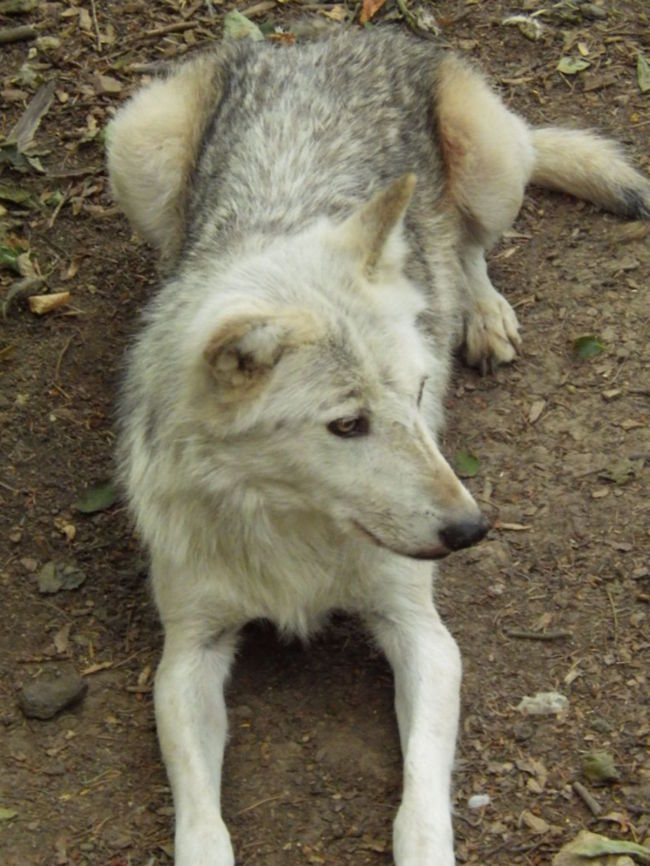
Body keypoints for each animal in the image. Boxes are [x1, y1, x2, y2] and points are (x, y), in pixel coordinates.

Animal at [107, 26, 650, 866]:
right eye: (347, 425)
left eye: (420, 394)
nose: (472, 531)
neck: (293, 532)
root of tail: (312, 42)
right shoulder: (188, 653)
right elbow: (201, 821)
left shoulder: (423, 634)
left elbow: (420, 806)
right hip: (137, 144)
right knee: (173, 245)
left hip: (493, 162)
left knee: (468, 242)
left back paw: (480, 313)